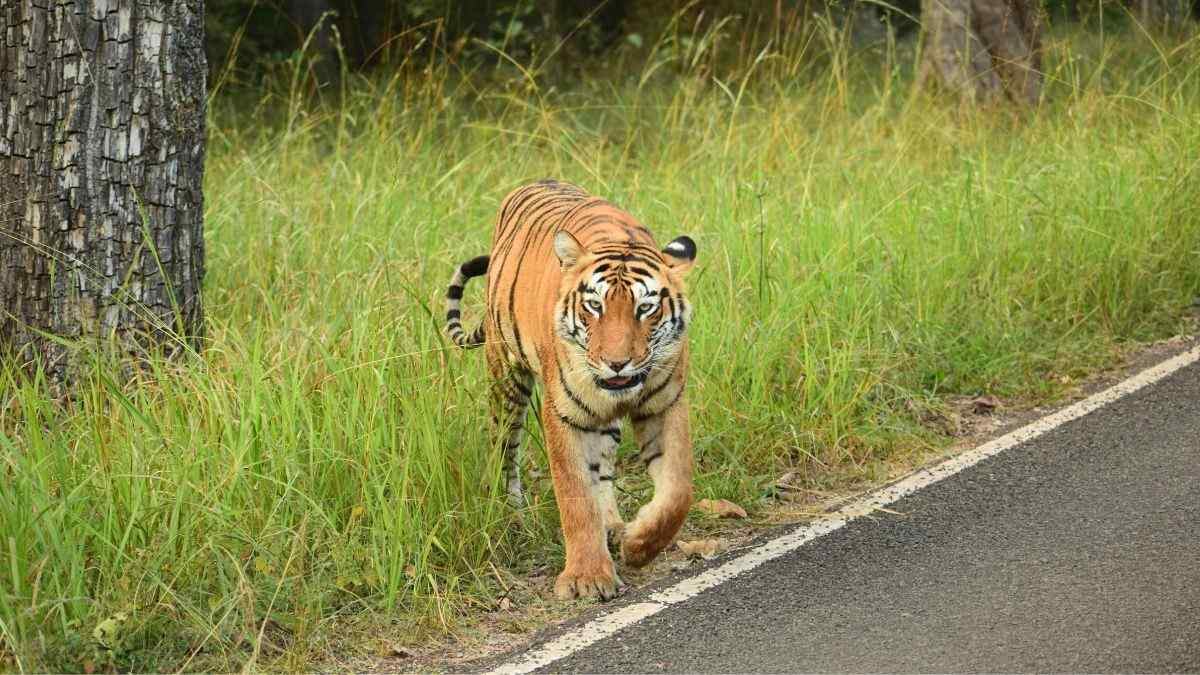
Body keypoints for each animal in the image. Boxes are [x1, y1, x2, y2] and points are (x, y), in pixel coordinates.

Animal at [444, 179, 698, 601]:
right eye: (594, 306)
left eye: (646, 308)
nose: (617, 363)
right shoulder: (564, 413)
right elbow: (574, 493)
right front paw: (587, 577)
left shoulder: (665, 402)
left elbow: (677, 491)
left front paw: (638, 545)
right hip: (506, 377)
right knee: (504, 448)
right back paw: (512, 515)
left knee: (603, 470)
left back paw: (612, 525)